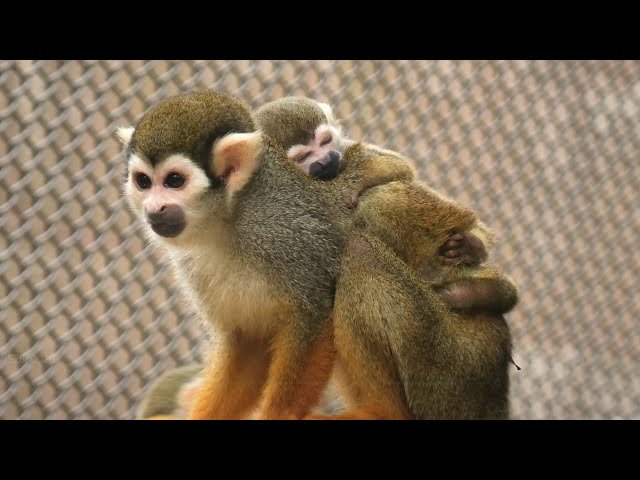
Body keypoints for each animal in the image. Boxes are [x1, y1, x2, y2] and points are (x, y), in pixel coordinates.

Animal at [117, 90, 347, 420]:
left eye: (174, 181)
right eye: (143, 182)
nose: (154, 208)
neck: (227, 220)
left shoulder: (289, 231)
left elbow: (315, 316)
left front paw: (279, 415)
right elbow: (248, 340)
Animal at [253, 96, 518, 316]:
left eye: (325, 141)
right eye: (304, 156)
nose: (326, 160)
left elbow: (399, 166)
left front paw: (358, 182)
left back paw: (473, 255)